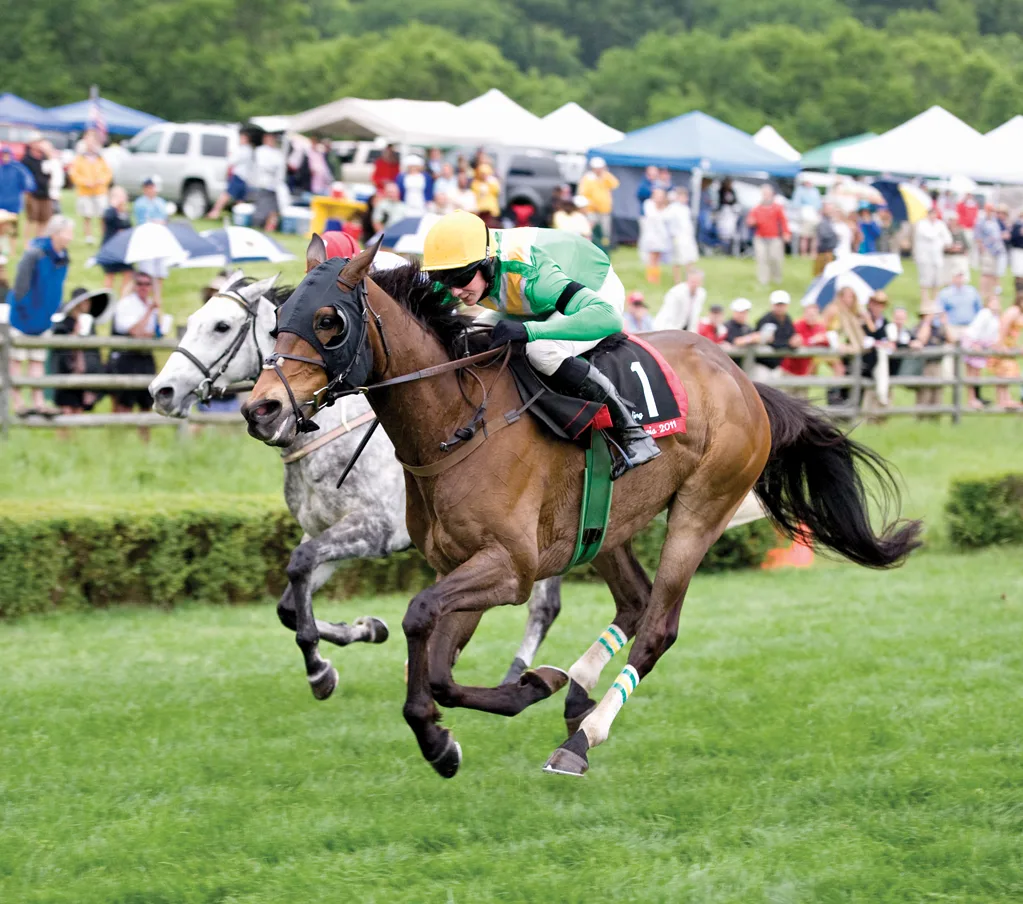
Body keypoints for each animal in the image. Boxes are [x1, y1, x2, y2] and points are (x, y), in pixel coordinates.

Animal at [149, 272, 560, 695]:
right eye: (194, 320)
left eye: (221, 326)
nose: (161, 392)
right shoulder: (322, 530)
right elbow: (289, 605)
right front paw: (365, 629)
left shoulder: (374, 530)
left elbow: (301, 566)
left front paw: (320, 668)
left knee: (543, 605)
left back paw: (515, 675)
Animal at [243, 242, 924, 777]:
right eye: (278, 320)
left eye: (329, 321)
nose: (261, 409)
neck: (456, 425)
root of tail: (741, 378)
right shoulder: (461, 565)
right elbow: (435, 662)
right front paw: (479, 717)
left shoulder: (510, 568)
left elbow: (419, 621)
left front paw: (469, 719)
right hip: (605, 527)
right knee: (636, 600)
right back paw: (576, 690)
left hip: (701, 509)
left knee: (658, 626)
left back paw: (583, 737)